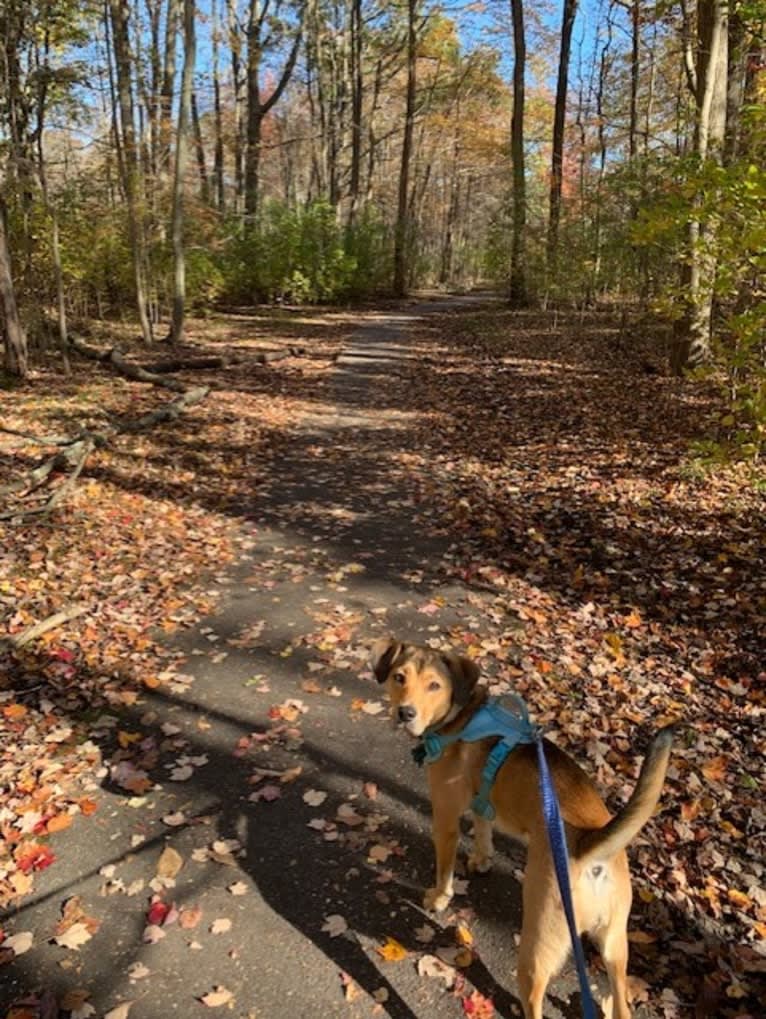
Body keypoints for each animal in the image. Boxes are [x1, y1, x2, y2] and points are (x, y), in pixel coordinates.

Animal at [372, 635, 676, 1019]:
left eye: (434, 686)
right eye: (399, 677)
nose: (405, 713)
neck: (462, 716)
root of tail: (591, 845)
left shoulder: (445, 818)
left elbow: (444, 870)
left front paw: (439, 897)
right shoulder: (482, 800)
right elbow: (484, 829)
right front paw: (482, 860)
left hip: (537, 945)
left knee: (533, 999)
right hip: (615, 946)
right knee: (621, 1004)